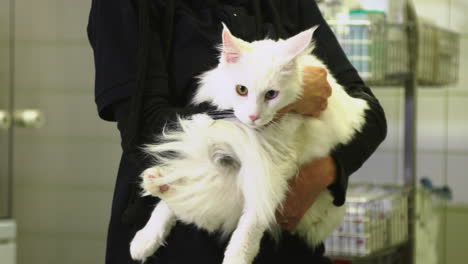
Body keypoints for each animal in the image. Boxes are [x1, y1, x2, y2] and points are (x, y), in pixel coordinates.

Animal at [129, 24, 370, 264]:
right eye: (241, 90)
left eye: (271, 94)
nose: (254, 116)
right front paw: (146, 238)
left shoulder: (270, 167)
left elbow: (252, 220)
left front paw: (237, 256)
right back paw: (155, 190)